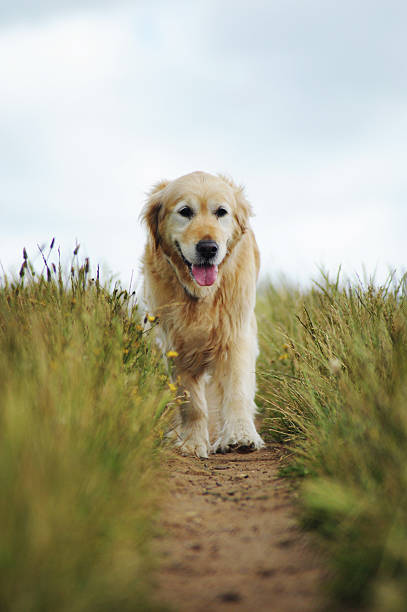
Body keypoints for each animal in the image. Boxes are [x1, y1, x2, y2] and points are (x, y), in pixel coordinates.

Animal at [142, 170, 266, 456]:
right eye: (185, 211)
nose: (208, 248)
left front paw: (240, 435)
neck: (201, 295)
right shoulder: (175, 344)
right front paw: (191, 441)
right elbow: (191, 402)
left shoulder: (236, 335)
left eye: (221, 212)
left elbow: (237, 389)